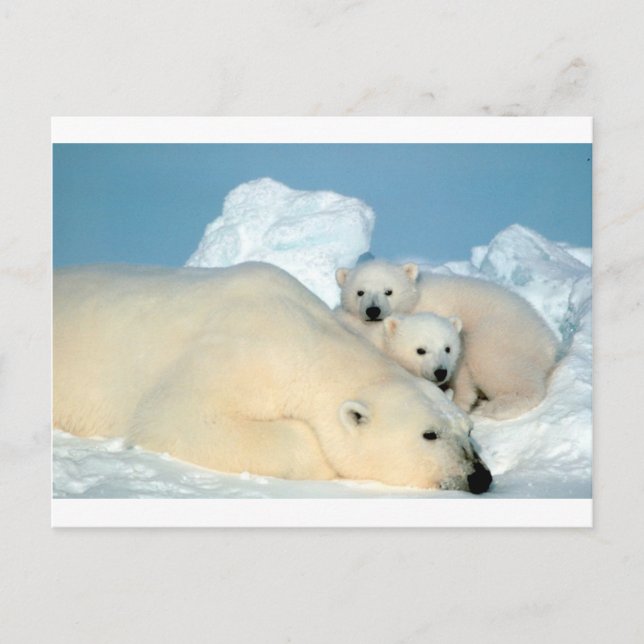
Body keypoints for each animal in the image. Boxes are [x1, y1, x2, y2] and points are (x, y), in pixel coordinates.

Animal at [336, 260, 558, 420]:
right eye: (360, 292)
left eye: (388, 291)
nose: (373, 310)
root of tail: (548, 340)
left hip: (501, 331)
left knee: (495, 361)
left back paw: (500, 406)